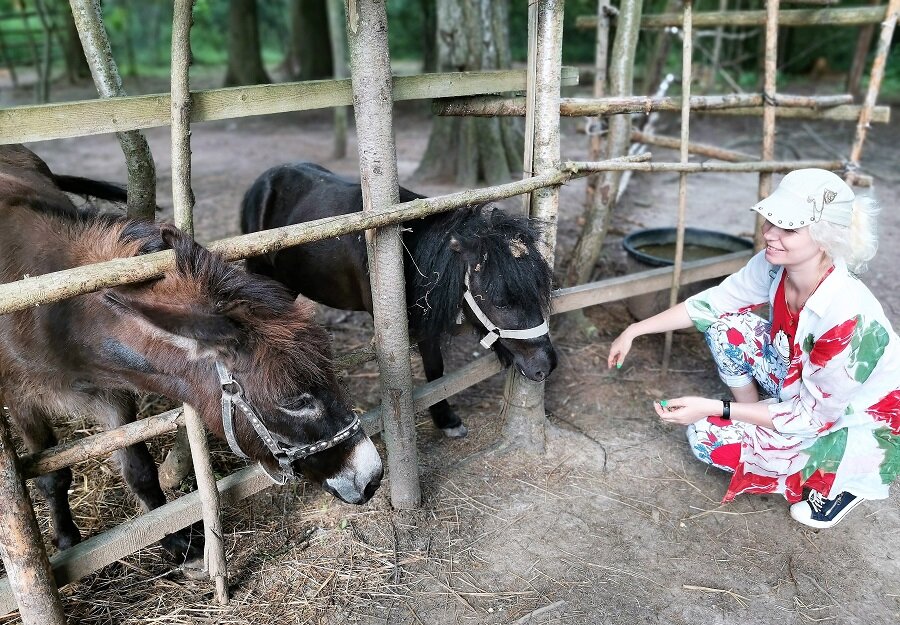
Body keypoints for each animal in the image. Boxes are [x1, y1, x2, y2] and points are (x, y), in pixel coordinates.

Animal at [0, 145, 384, 564]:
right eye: (295, 402)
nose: (373, 477)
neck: (59, 317)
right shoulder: (21, 401)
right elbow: (53, 477)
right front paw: (67, 540)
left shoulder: (114, 391)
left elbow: (139, 468)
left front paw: (174, 541)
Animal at [239, 162, 556, 434]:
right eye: (500, 301)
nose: (547, 365)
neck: (409, 254)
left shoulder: (425, 319)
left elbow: (435, 369)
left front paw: (446, 419)